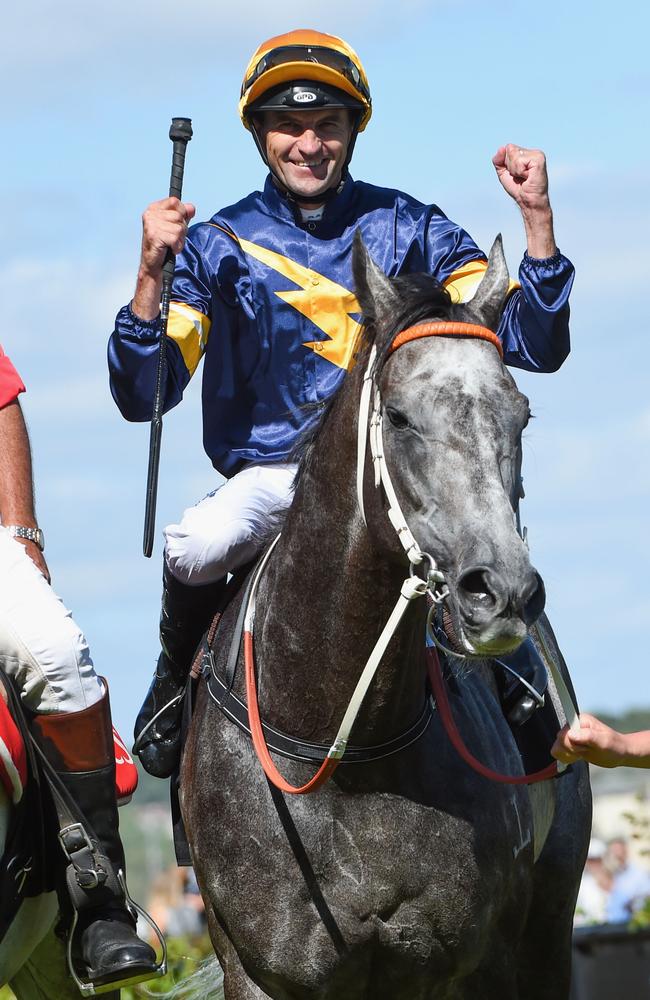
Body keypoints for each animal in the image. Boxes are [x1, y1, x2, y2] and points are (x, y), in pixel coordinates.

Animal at [180, 236, 588, 1000]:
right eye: (397, 416)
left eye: (520, 413)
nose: (502, 590)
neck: (344, 752)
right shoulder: (255, 966)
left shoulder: (474, 959)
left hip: (549, 918)